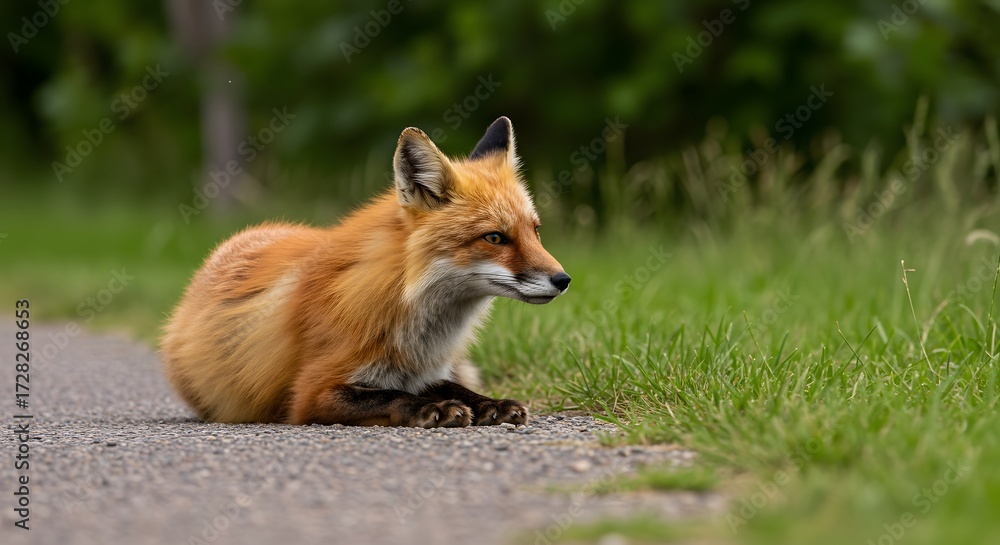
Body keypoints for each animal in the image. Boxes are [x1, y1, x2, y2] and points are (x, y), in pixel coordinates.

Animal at [161, 117, 570, 427]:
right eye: (495, 238)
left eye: (535, 231)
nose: (563, 280)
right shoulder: (310, 394)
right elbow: (392, 395)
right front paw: (429, 409)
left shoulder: (427, 371)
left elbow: (450, 386)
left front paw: (488, 403)